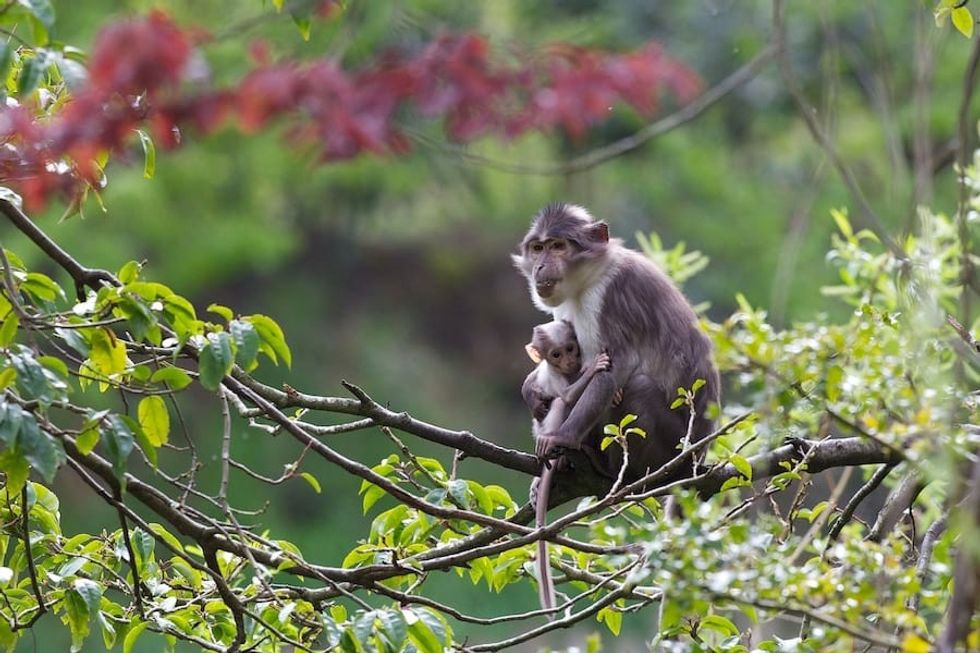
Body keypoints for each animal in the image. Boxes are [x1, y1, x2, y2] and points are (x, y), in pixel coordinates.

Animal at [512, 202, 719, 486]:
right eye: (537, 248)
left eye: (557, 246)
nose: (540, 266)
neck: (590, 279)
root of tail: (697, 458)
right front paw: (530, 391)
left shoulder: (614, 295)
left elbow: (618, 364)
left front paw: (562, 437)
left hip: (673, 447)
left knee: (638, 387)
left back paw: (618, 471)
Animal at [521, 319, 613, 613]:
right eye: (556, 354)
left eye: (571, 348)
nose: (570, 360)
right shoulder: (554, 375)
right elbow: (566, 396)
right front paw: (594, 368)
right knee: (560, 402)